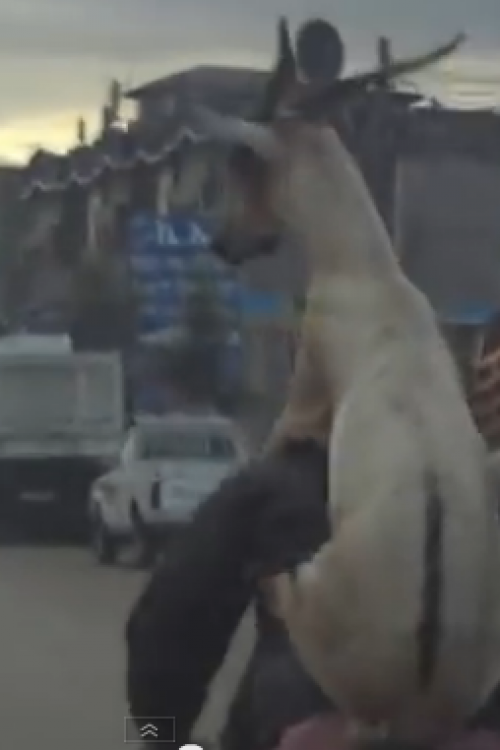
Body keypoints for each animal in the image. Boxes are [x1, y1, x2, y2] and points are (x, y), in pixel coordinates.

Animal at [194, 19, 500, 747]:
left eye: (244, 164)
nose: (223, 243)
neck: (370, 273)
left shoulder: (308, 379)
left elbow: (278, 436)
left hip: (316, 600)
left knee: (281, 587)